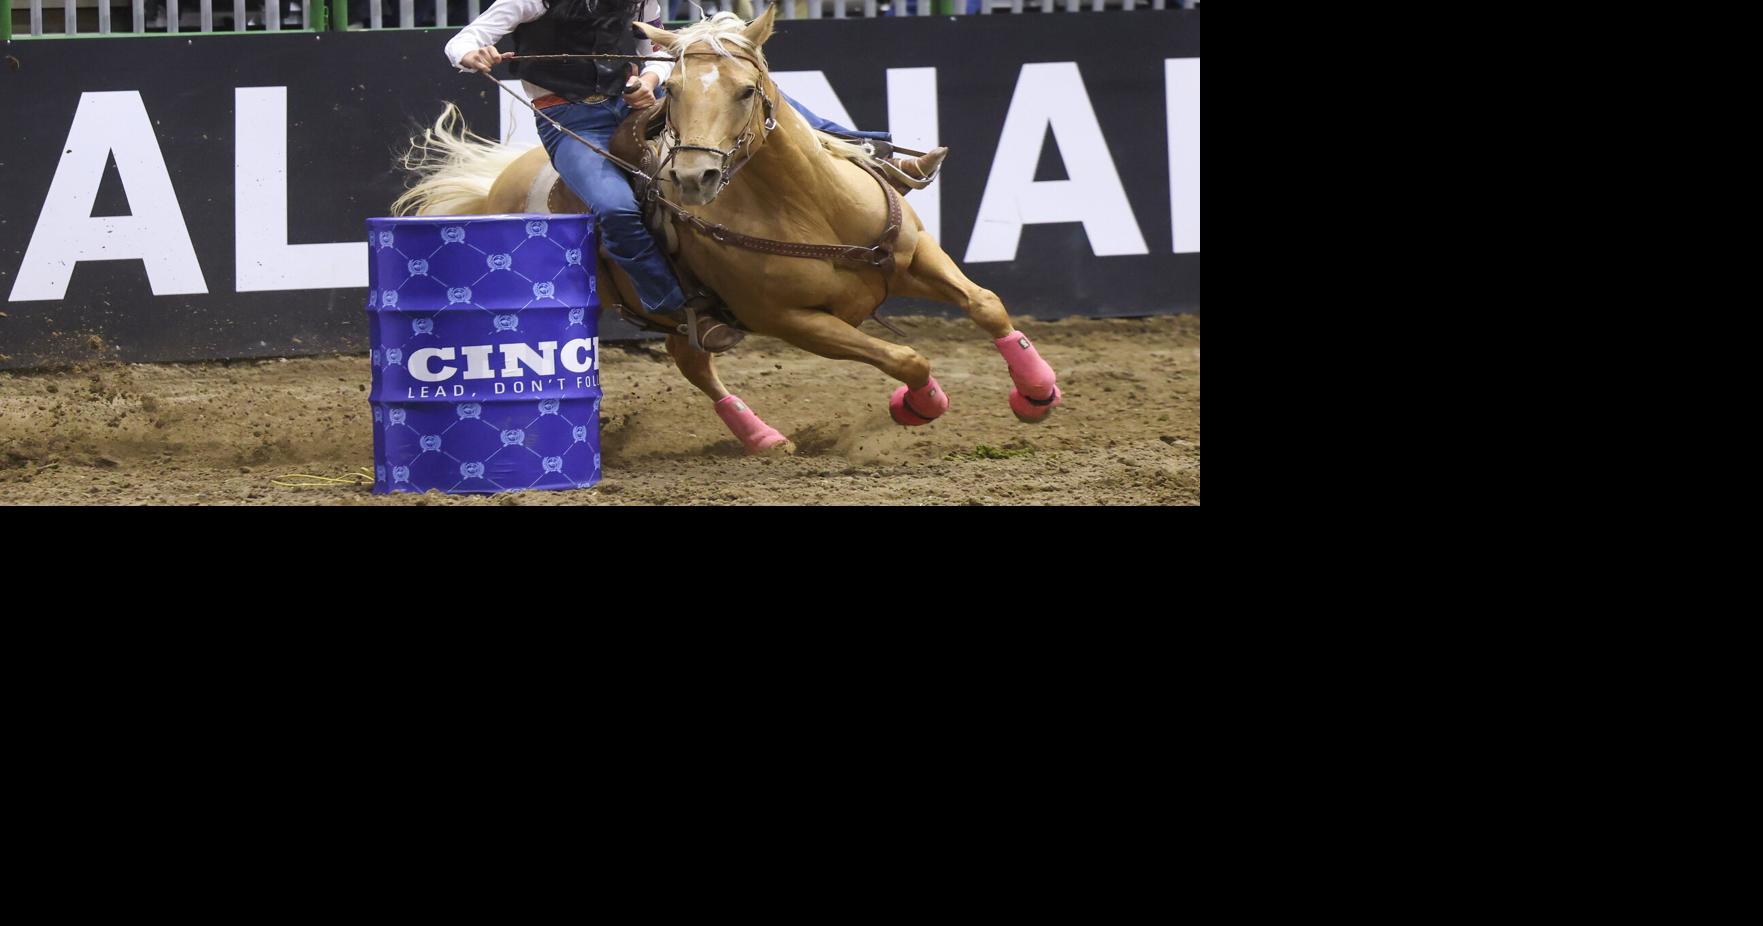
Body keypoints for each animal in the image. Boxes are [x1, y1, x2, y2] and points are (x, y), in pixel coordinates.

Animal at [393, 7, 1061, 455]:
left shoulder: (915, 256)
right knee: (694, 364)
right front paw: (917, 407)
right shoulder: (791, 321)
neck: (811, 207)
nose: (694, 177)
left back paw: (761, 436)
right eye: (674, 89)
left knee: (688, 358)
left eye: (746, 90)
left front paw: (1036, 393)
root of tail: (496, 186)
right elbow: (906, 357)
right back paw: (764, 437)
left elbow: (987, 304)